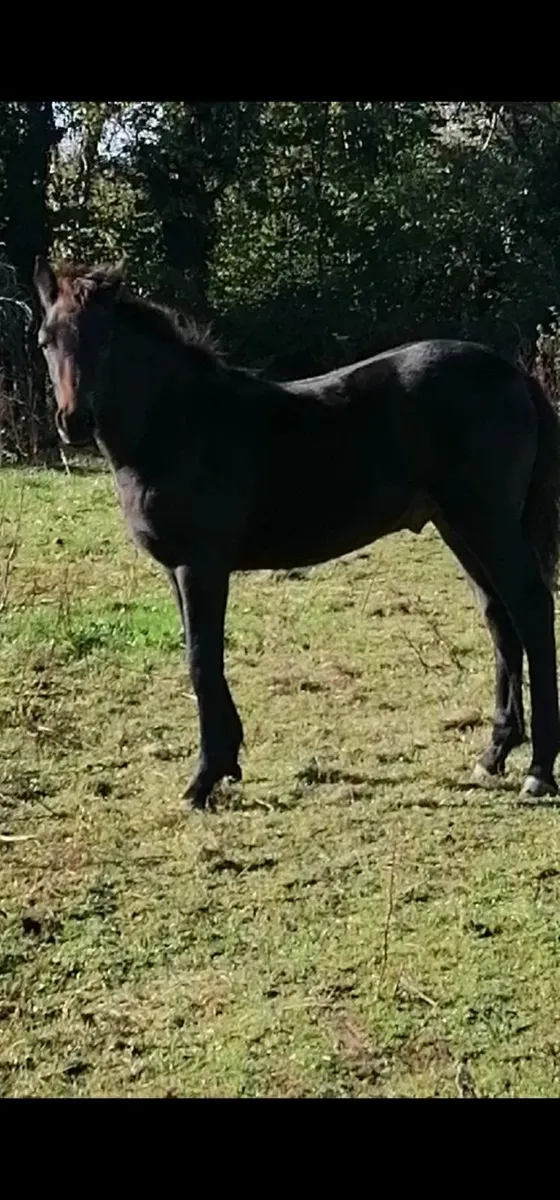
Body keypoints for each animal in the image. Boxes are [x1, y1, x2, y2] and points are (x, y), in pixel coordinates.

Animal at [33, 256, 560, 810]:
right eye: (47, 340)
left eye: (105, 339)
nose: (73, 421)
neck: (180, 428)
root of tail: (515, 375)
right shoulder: (179, 570)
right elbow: (201, 659)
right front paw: (227, 763)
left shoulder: (200, 565)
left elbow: (202, 660)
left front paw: (203, 780)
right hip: (460, 527)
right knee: (499, 618)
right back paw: (493, 754)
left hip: (487, 521)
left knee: (530, 608)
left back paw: (539, 770)